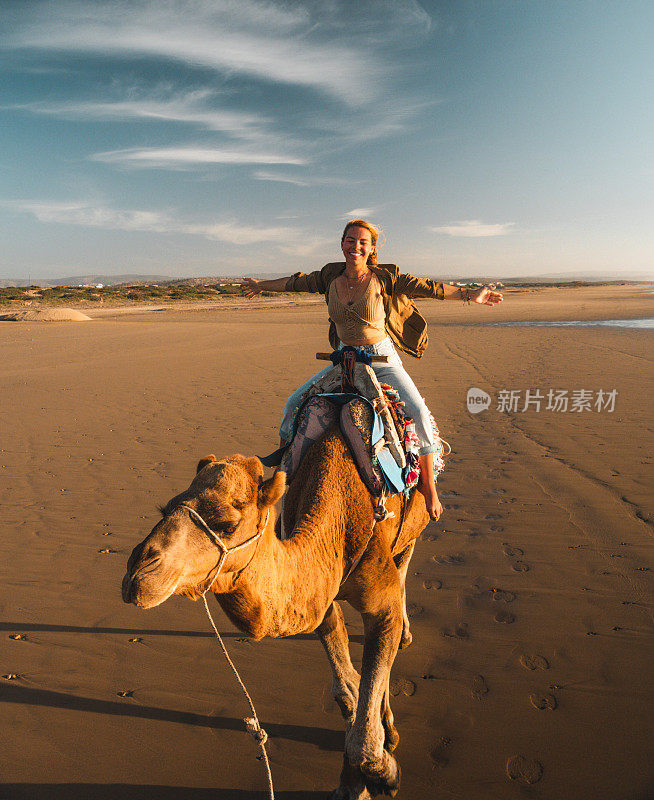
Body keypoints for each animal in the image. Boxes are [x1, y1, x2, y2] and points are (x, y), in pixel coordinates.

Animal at [121, 428, 430, 796]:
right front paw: (352, 782)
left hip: (413, 531)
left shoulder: (380, 597)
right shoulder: (320, 600)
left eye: (227, 524)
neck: (335, 528)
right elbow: (346, 689)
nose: (137, 574)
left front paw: (384, 769)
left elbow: (373, 675)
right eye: (164, 508)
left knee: (405, 561)